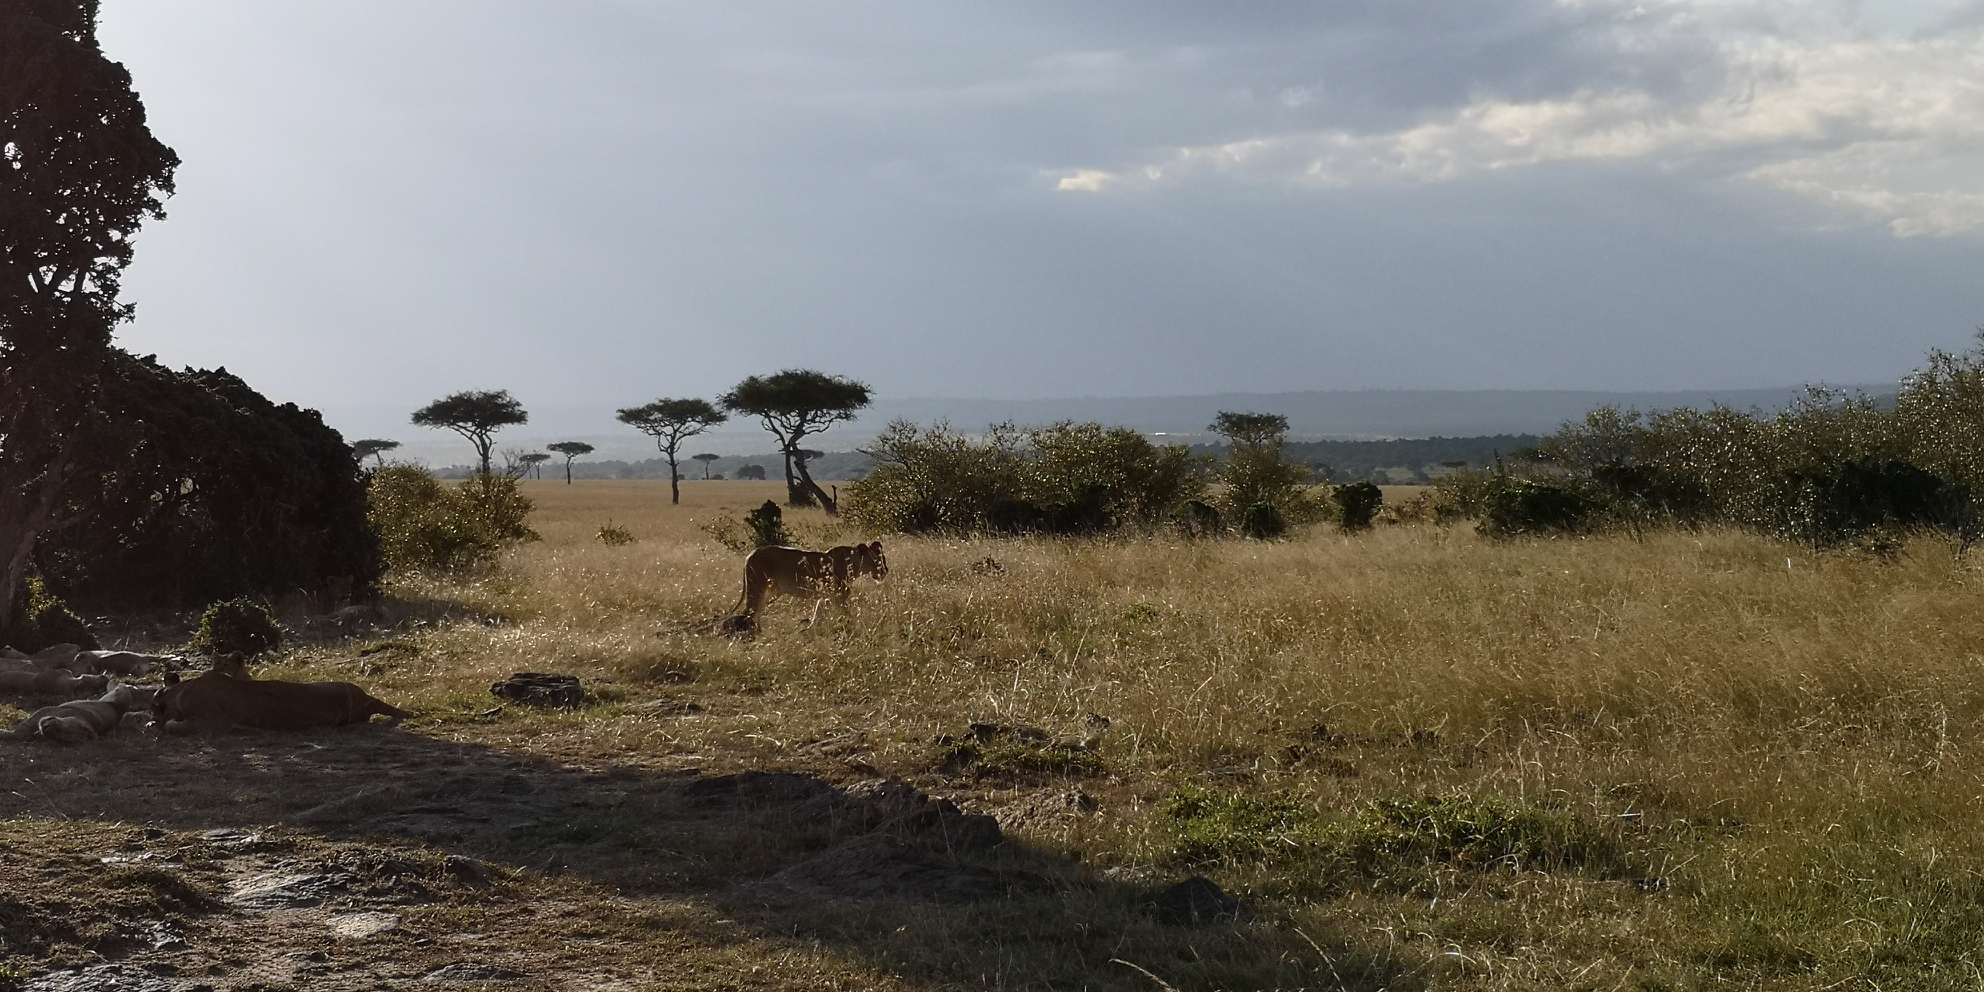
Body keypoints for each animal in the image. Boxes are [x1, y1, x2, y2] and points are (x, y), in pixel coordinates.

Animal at [726, 543, 888, 626]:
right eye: (877, 560)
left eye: (883, 559)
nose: (885, 571)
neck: (853, 565)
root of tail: (750, 554)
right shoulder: (839, 595)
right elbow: (846, 613)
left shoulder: (826, 595)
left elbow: (818, 613)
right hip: (756, 586)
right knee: (750, 611)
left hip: (770, 591)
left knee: (757, 611)